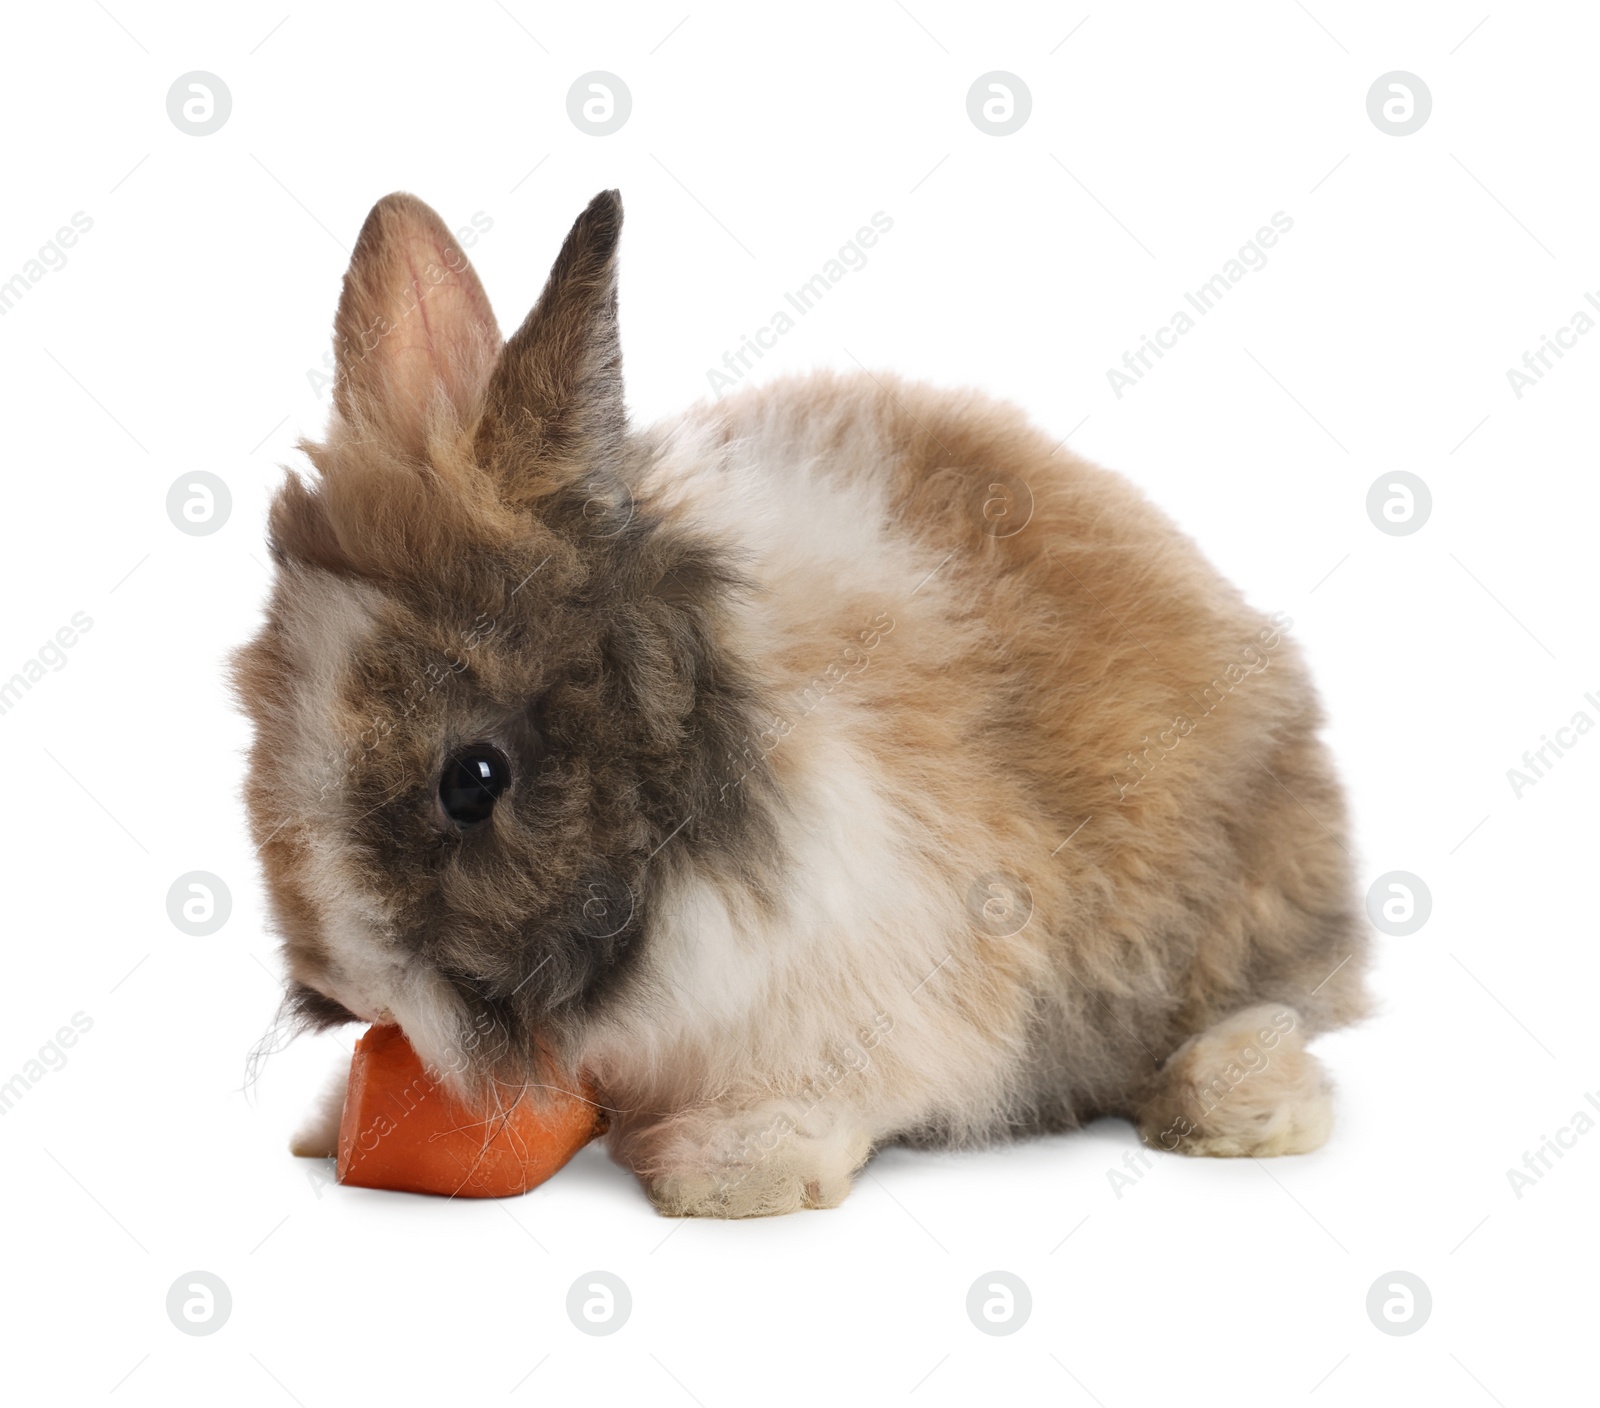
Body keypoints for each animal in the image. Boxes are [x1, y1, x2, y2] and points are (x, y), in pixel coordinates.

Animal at [232, 192, 1369, 1216]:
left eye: (474, 780)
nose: (355, 991)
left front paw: (731, 1170)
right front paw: (329, 1120)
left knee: (1279, 1008)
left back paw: (1227, 1105)